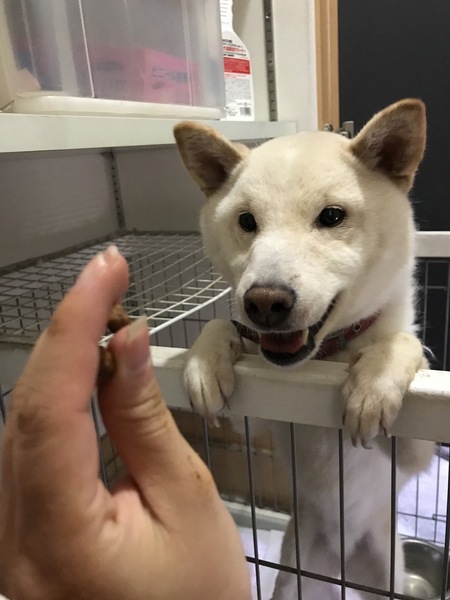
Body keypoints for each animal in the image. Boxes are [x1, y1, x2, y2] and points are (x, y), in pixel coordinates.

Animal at [174, 99, 435, 599]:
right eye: (246, 221)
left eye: (331, 216)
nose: (264, 303)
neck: (329, 355)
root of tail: (341, 560)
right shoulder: (257, 421)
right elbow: (221, 325)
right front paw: (206, 360)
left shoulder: (417, 455)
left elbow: (402, 342)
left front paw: (375, 381)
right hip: (294, 577)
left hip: (385, 570)